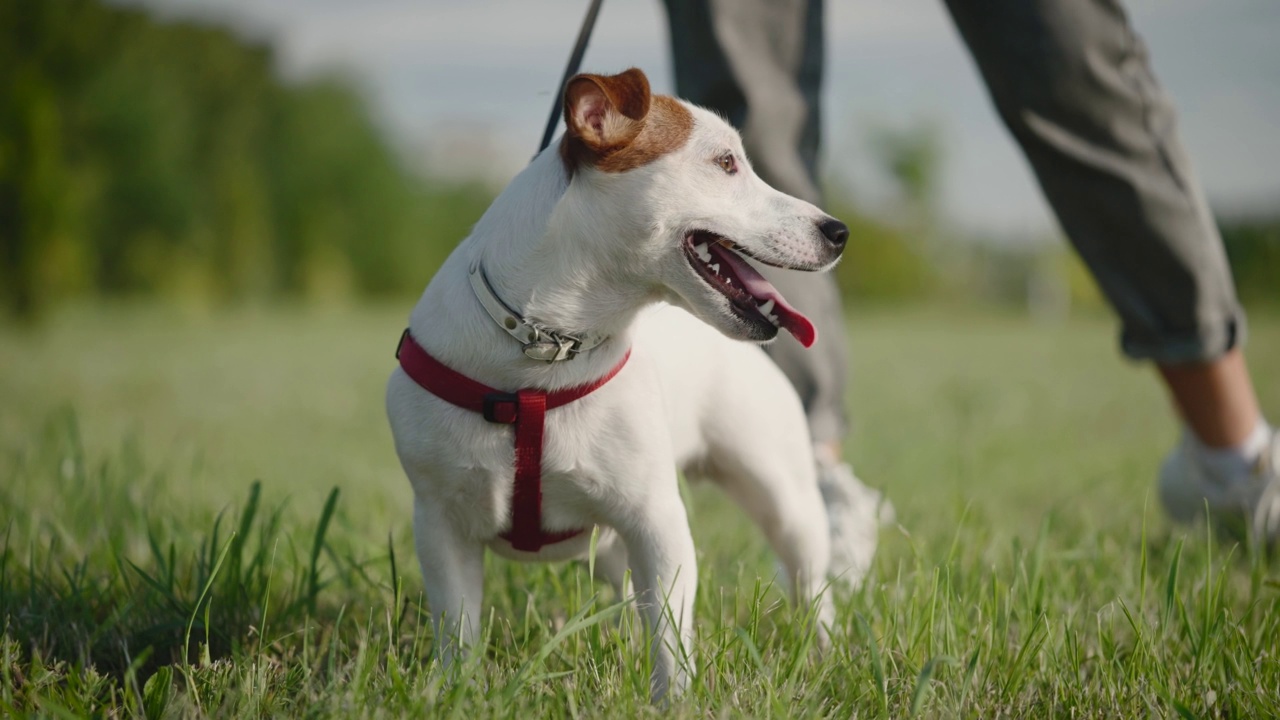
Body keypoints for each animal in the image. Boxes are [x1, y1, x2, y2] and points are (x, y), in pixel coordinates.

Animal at [384, 67, 855, 696]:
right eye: (726, 162)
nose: (839, 231)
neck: (544, 349)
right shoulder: (441, 527)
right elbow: (458, 631)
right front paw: (457, 693)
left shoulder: (656, 521)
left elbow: (671, 635)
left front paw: (674, 699)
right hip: (611, 542)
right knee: (630, 596)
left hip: (784, 498)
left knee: (809, 584)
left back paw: (826, 653)